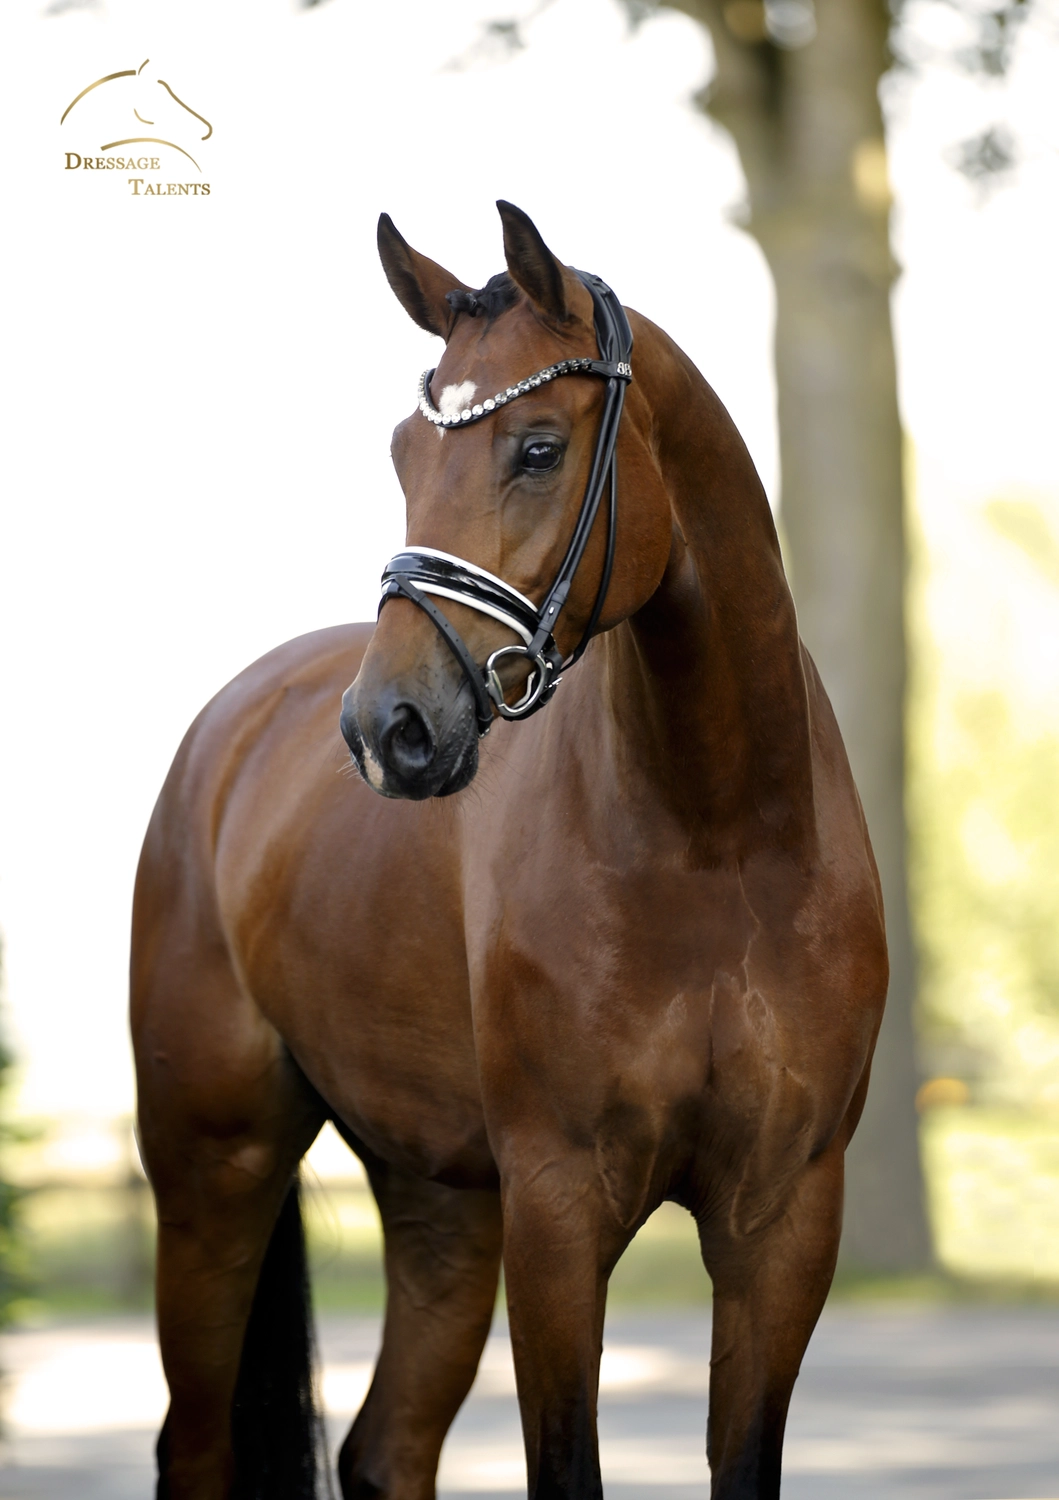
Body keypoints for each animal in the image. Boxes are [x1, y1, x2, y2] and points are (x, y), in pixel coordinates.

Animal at [131, 201, 887, 1500]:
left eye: (538, 447)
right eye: (402, 453)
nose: (389, 729)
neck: (721, 842)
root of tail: (230, 731)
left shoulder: (783, 1218)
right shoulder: (558, 1208)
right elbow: (564, 1465)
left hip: (439, 1197)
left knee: (386, 1448)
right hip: (215, 1169)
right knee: (197, 1445)